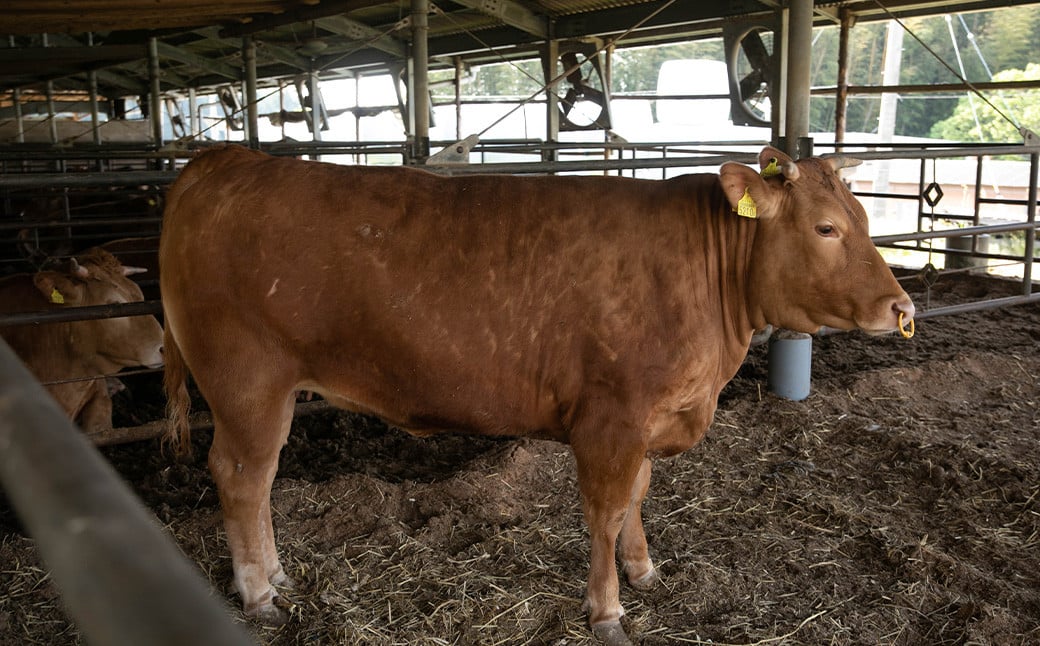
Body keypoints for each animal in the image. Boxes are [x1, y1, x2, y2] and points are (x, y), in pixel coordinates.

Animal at [158, 143, 915, 640]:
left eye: (866, 219)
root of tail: (226, 160)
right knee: (242, 476)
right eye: (826, 227)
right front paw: (607, 610)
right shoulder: (611, 417)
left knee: (261, 479)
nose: (903, 308)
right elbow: (606, 510)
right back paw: (258, 594)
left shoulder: (648, 420)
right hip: (247, 381)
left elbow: (639, 495)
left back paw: (278, 576)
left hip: (273, 391)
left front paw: (644, 571)